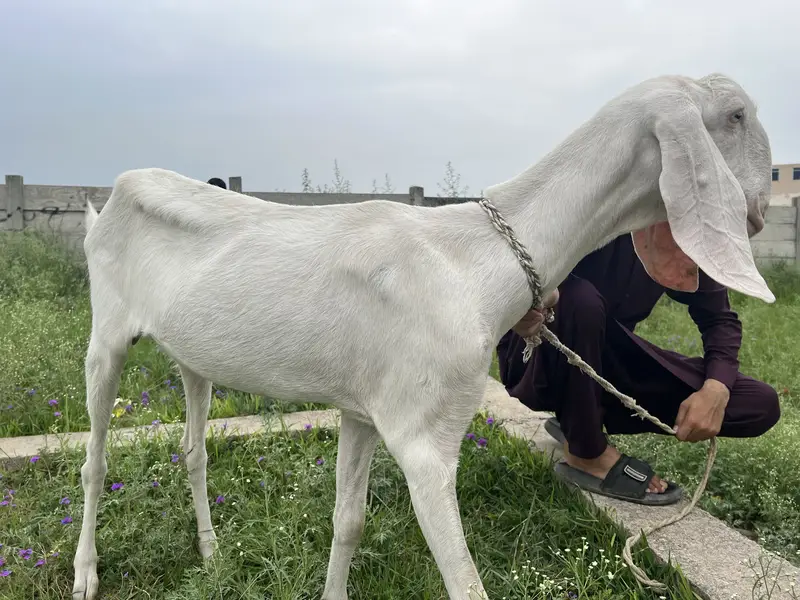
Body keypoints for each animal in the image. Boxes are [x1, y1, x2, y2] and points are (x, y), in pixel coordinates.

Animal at [72, 73, 774, 600]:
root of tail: (104, 205)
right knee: (94, 459)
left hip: (193, 356)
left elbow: (348, 521)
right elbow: (464, 581)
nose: (763, 208)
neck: (473, 257)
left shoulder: (362, 408)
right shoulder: (425, 438)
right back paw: (86, 575)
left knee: (193, 450)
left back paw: (211, 551)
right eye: (736, 115)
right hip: (105, 336)